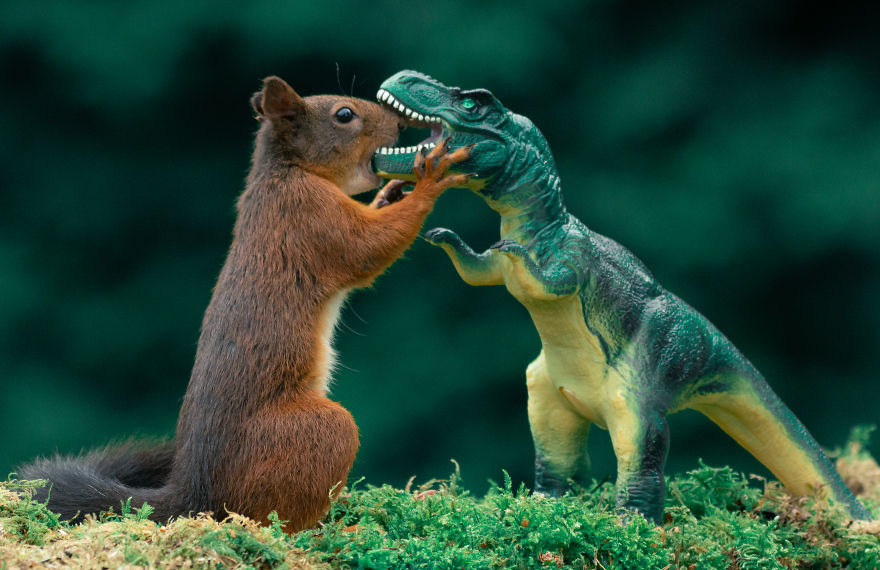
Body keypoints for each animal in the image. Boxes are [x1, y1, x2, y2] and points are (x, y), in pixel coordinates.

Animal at [17, 74, 470, 528]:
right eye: (345, 115)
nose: (399, 124)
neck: (285, 173)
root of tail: (197, 494)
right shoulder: (311, 218)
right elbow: (367, 249)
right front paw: (430, 178)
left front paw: (392, 193)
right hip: (315, 433)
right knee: (275, 514)